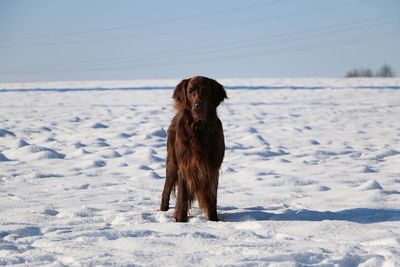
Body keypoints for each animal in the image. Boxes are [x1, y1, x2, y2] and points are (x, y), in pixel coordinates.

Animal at [160, 75, 228, 222]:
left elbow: (212, 198)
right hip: (172, 163)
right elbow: (182, 197)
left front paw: (213, 220)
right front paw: (180, 220)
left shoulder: (212, 168)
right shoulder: (185, 166)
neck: (199, 129)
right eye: (190, 91)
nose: (198, 106)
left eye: (206, 91)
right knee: (166, 190)